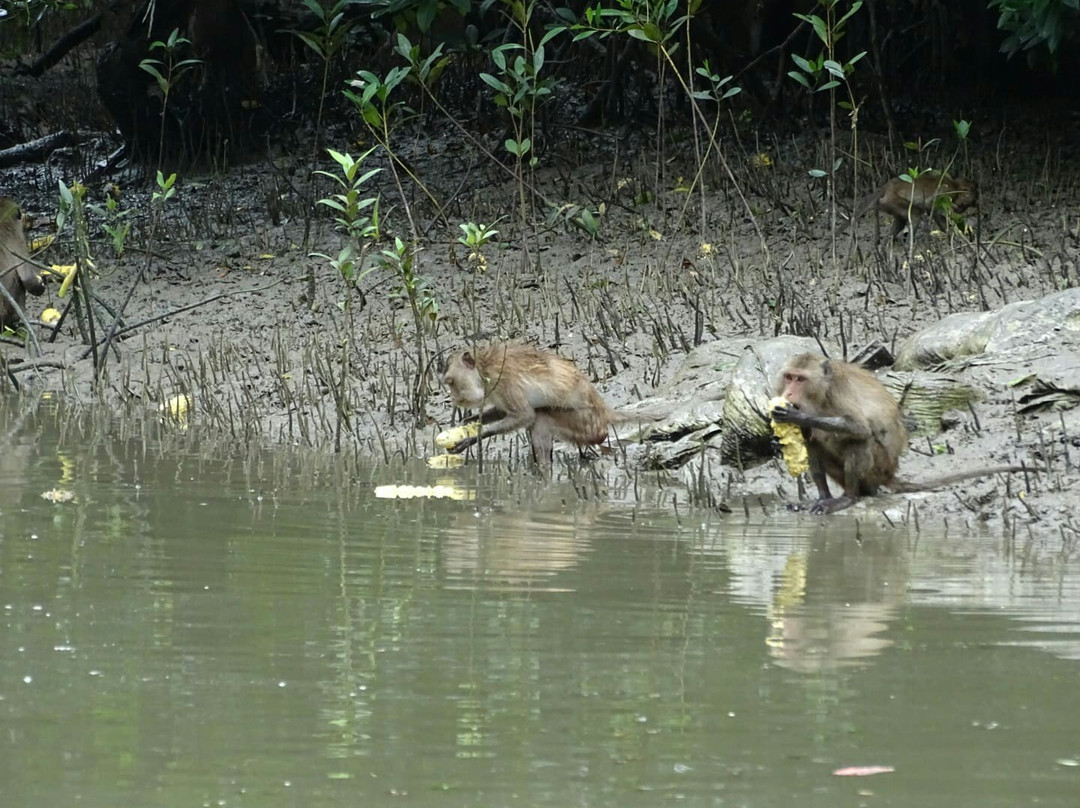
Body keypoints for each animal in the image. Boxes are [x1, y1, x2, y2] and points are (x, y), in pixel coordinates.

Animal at [438, 343, 656, 470]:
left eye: (450, 382)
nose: (454, 399)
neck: (484, 370)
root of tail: (603, 411)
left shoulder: (504, 380)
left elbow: (525, 415)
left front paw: (472, 438)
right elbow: (504, 411)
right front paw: (469, 421)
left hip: (587, 425)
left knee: (540, 417)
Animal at [768, 349, 1019, 514]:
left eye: (800, 379)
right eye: (789, 377)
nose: (788, 393)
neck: (819, 395)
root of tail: (889, 474)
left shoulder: (838, 391)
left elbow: (858, 427)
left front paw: (797, 416)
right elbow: (809, 438)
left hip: (877, 469)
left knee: (860, 441)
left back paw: (848, 497)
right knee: (814, 446)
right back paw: (823, 497)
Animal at [851, 171, 980, 241]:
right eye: (967, 204)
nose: (961, 210)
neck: (955, 186)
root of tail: (886, 187)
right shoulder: (945, 191)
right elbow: (930, 205)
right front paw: (952, 234)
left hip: (889, 204)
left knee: (901, 221)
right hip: (892, 200)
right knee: (915, 213)